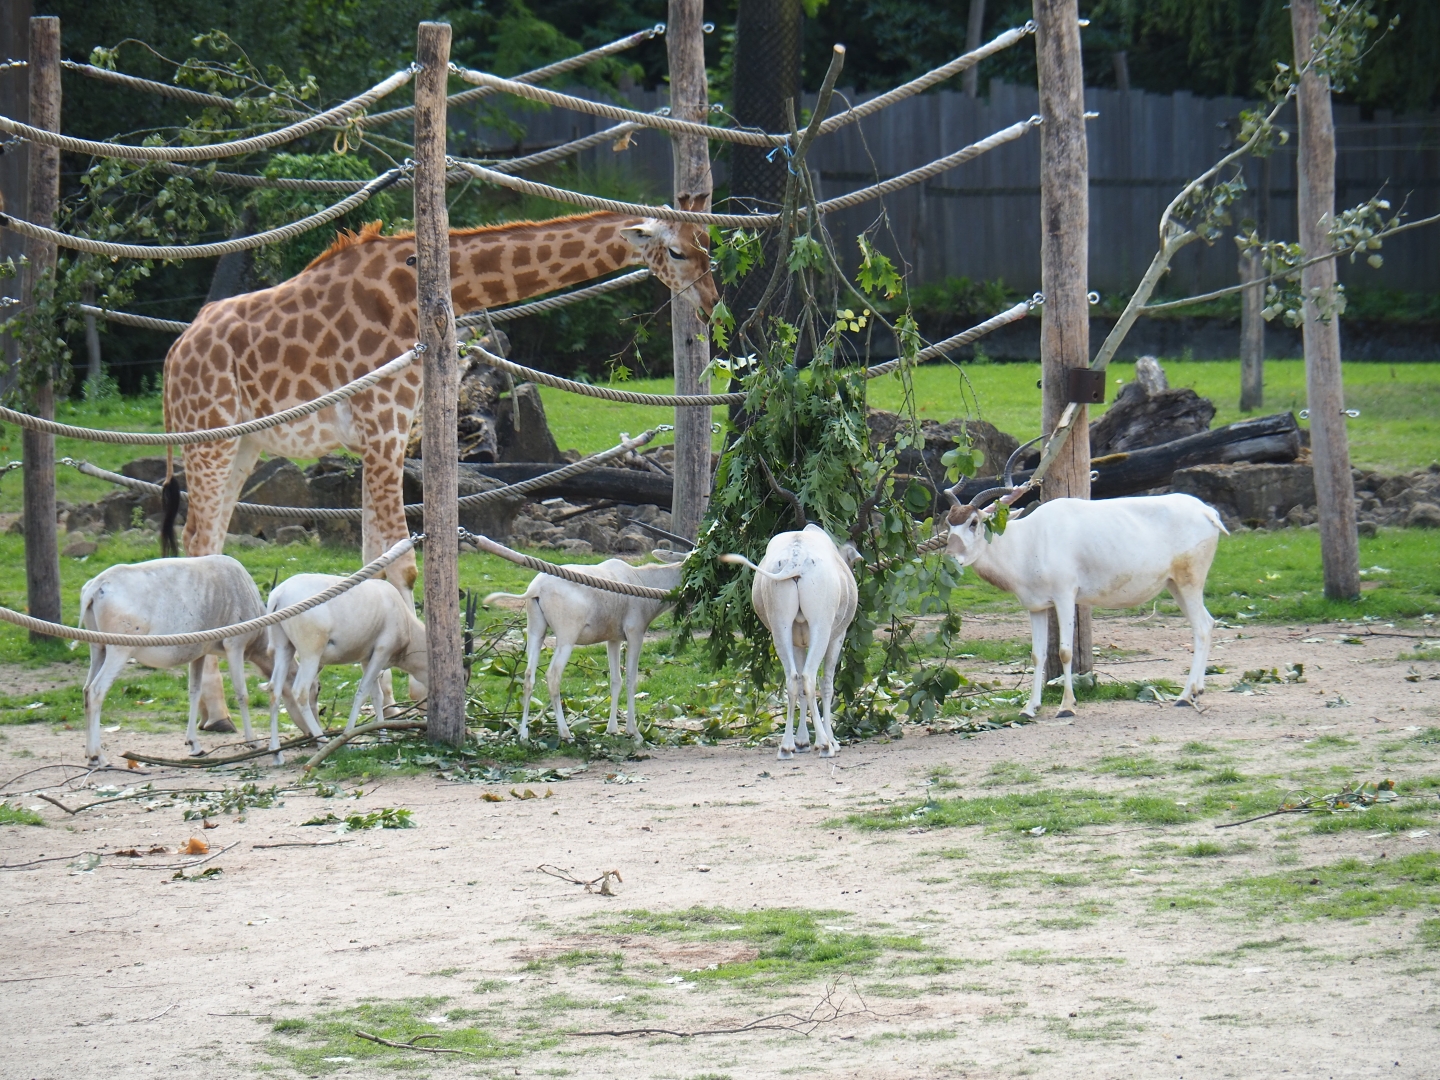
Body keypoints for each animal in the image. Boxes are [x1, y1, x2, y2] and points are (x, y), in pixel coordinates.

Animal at [162, 202, 718, 729]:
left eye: (707, 243)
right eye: (676, 252)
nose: (711, 303)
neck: (422, 293)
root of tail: (174, 354)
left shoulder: (391, 434)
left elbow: (375, 558)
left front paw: (384, 700)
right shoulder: (383, 427)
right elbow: (400, 563)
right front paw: (411, 692)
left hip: (244, 443)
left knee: (209, 542)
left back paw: (213, 709)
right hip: (208, 434)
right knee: (198, 540)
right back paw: (216, 712)